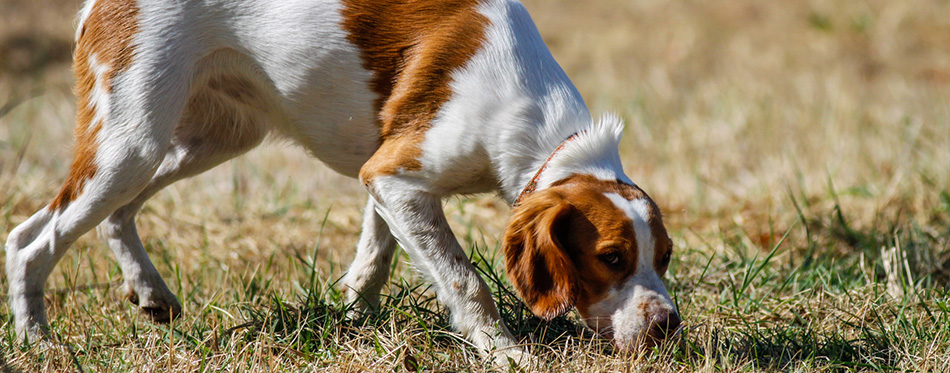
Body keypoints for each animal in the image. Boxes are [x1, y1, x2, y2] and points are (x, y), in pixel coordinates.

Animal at [3, 0, 680, 362]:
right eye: (611, 257)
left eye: (665, 258)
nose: (667, 326)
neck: (539, 122)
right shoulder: (399, 175)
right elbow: (464, 279)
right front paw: (504, 351)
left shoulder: (385, 174)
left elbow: (376, 252)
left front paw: (356, 310)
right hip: (133, 139)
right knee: (29, 240)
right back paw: (38, 343)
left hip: (211, 136)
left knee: (108, 216)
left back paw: (149, 292)